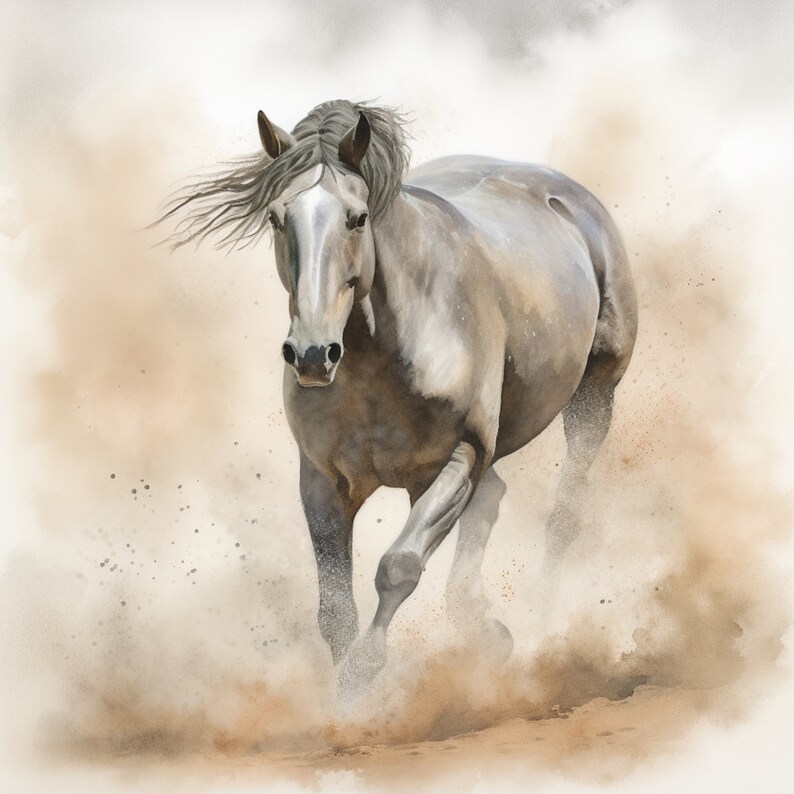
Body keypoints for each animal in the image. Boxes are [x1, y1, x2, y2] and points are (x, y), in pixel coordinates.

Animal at [160, 100, 638, 691]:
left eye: (358, 218)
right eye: (275, 218)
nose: (312, 354)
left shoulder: (456, 460)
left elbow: (399, 566)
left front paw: (363, 677)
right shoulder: (324, 482)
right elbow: (335, 610)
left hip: (595, 395)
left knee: (565, 512)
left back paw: (538, 620)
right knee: (494, 498)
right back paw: (487, 630)